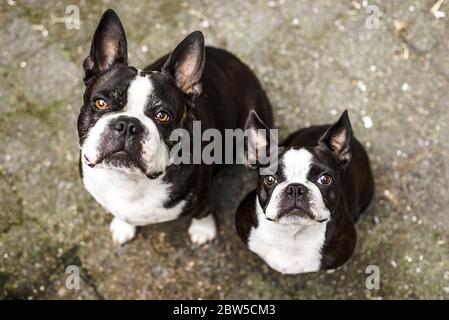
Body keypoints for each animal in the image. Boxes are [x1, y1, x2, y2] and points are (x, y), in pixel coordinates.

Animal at [77, 9, 272, 245]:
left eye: (162, 116)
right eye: (100, 103)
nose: (128, 125)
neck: (129, 181)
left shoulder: (200, 196)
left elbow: (202, 210)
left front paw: (202, 229)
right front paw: (123, 225)